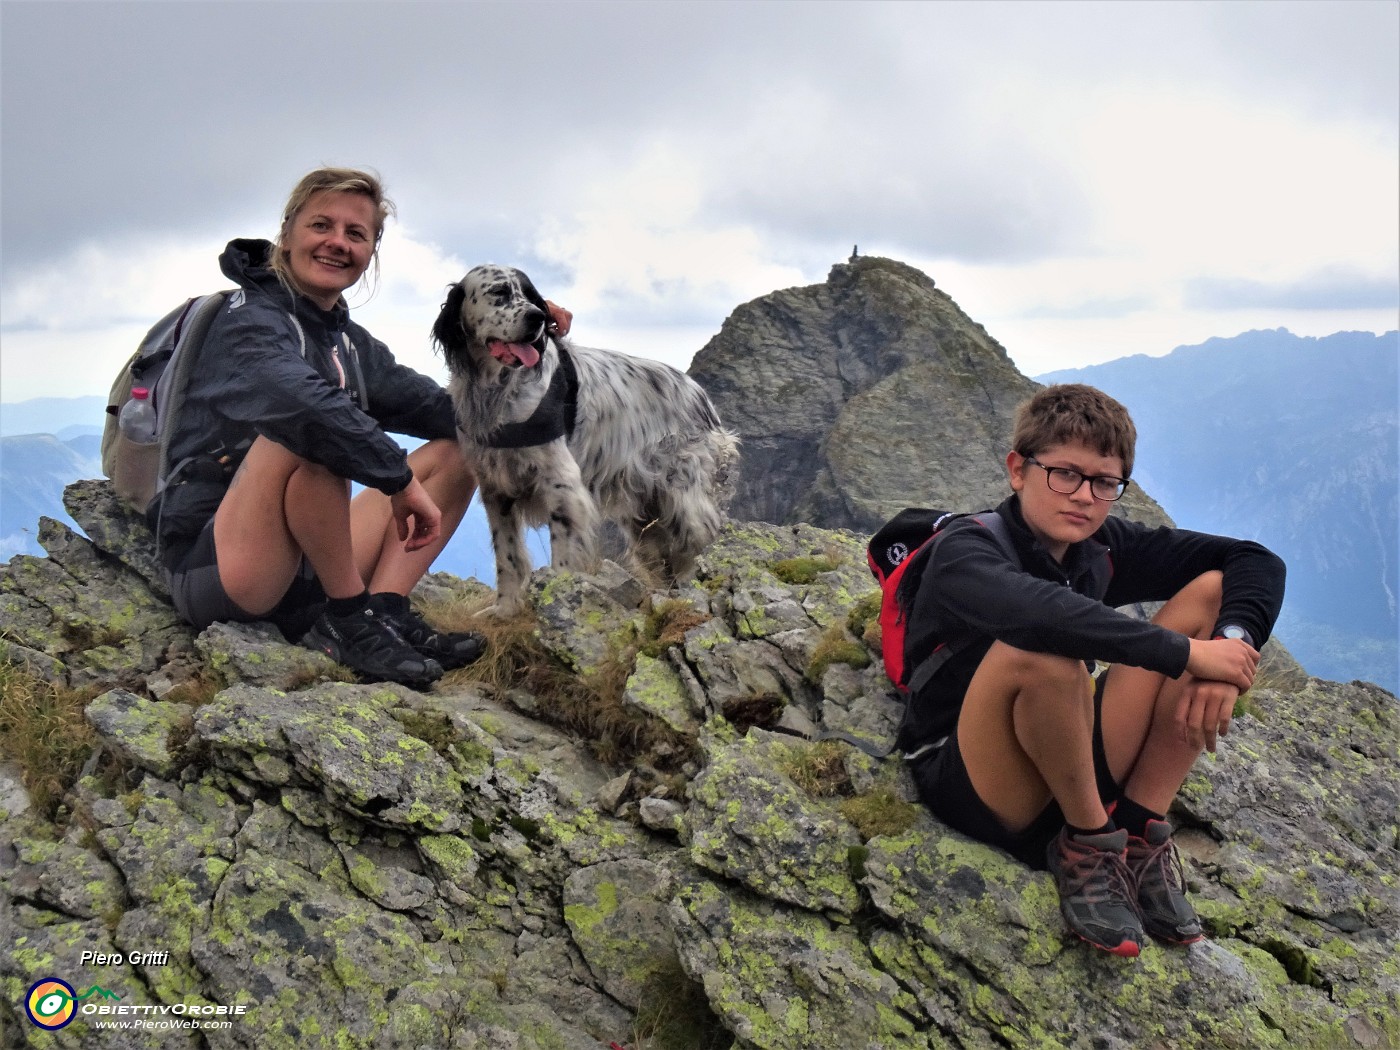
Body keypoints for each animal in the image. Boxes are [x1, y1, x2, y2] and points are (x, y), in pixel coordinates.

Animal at [434, 264, 744, 616]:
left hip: (684, 497)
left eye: (530, 295)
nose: (538, 317)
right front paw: (505, 609)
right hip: (644, 513)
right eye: (499, 292)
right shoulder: (496, 490)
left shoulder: (562, 484)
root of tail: (700, 394)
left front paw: (554, 602)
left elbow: (562, 556)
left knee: (701, 543)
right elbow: (508, 557)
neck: (497, 391)